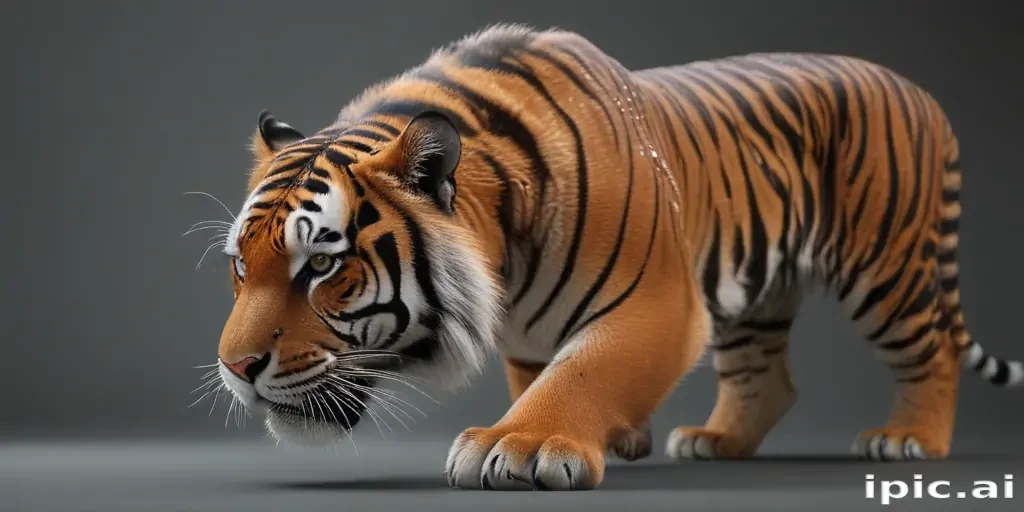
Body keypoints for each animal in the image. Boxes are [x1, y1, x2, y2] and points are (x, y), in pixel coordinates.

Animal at [209, 24, 1023, 491]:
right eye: (240, 266)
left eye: (322, 266)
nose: (236, 369)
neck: (504, 254)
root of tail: (918, 92)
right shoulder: (530, 331)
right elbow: (548, 372)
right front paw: (610, 433)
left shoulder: (661, 301)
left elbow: (585, 368)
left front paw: (521, 446)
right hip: (759, 295)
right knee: (768, 378)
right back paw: (719, 442)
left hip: (885, 267)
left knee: (931, 349)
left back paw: (908, 439)